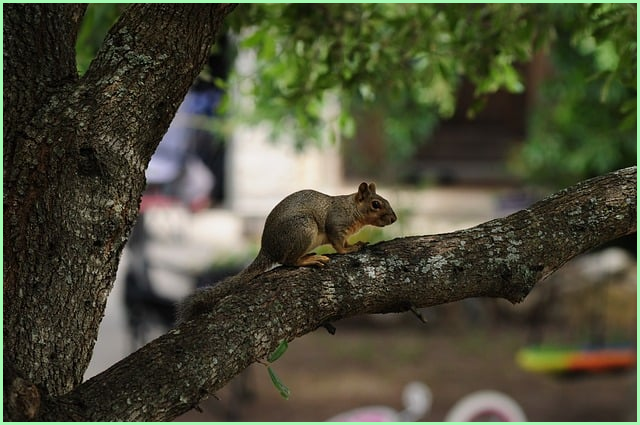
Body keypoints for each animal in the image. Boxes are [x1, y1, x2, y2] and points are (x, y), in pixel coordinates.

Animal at [176, 182, 397, 324]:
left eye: (386, 200)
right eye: (376, 204)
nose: (394, 219)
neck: (352, 209)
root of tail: (267, 248)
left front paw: (356, 242)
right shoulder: (336, 225)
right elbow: (339, 245)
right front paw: (350, 248)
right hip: (303, 229)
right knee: (288, 261)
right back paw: (308, 260)